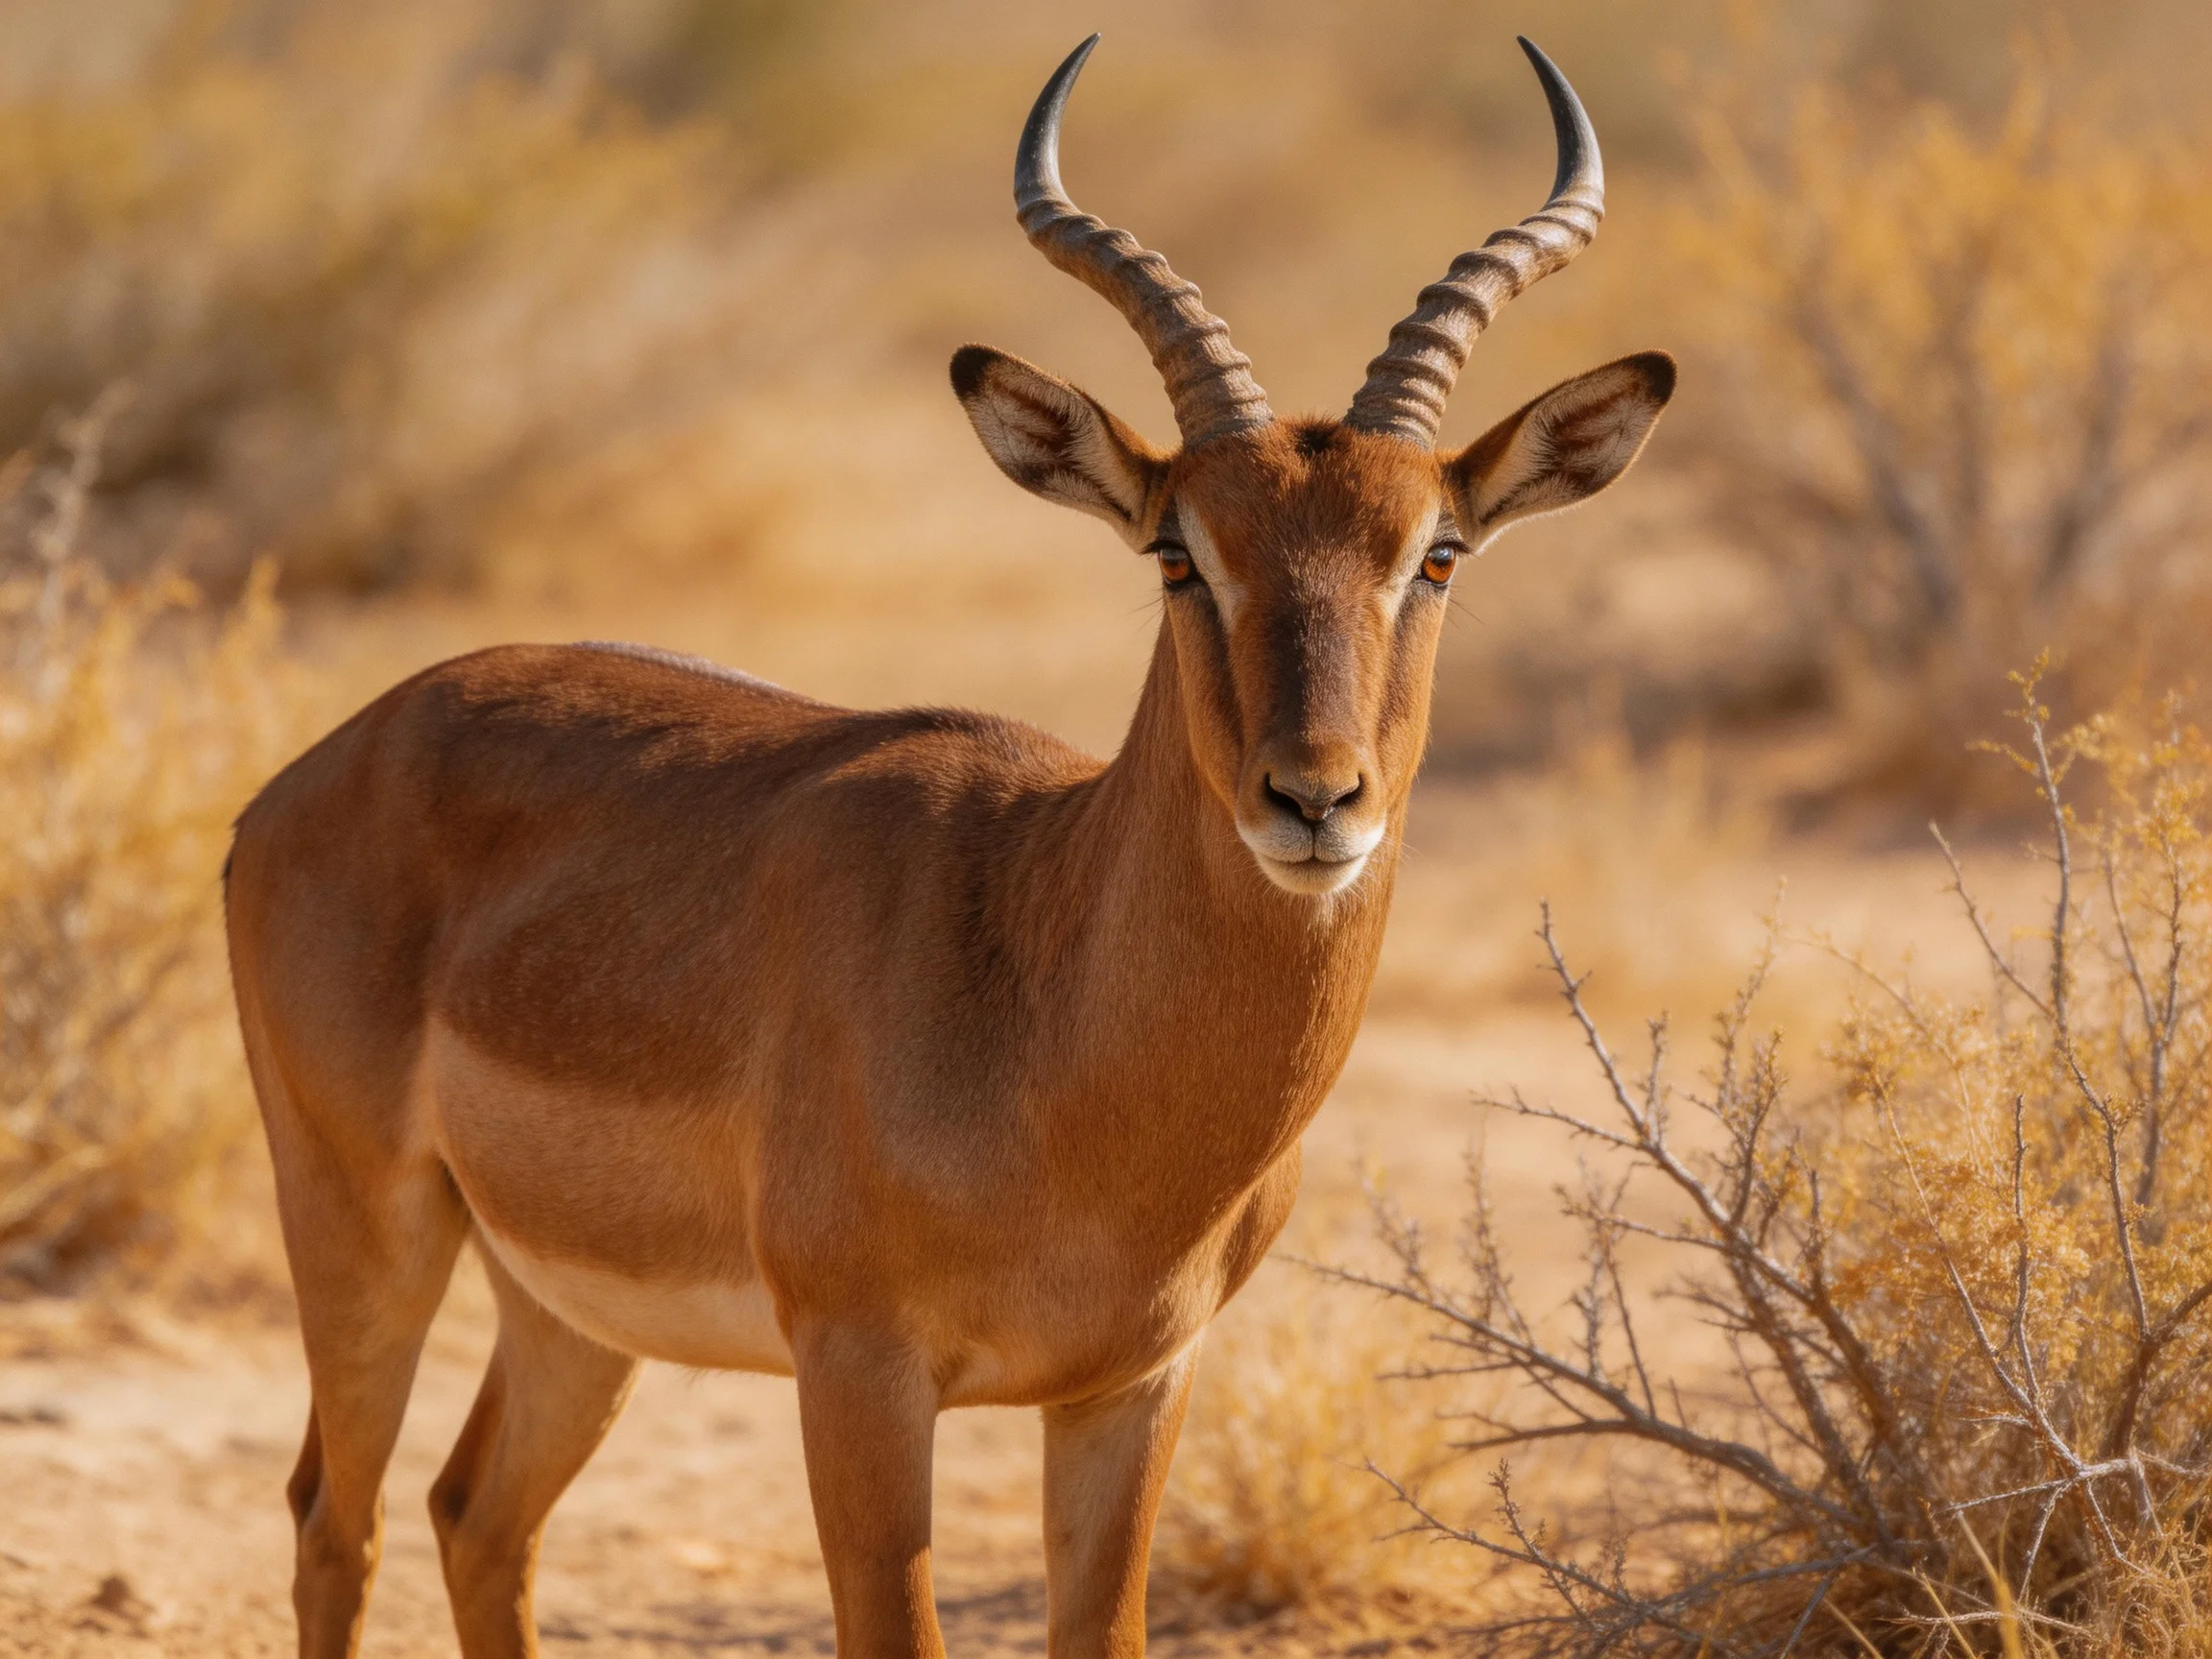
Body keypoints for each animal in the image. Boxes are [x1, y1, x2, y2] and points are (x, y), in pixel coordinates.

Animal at [225, 34, 1672, 1659]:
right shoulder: (859, 1371)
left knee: (475, 1513)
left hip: (568, 1308)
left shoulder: (1132, 1388)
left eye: (1436, 553)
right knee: (333, 1520)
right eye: (1181, 551)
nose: (1316, 799)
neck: (1047, 1012)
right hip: (365, 1218)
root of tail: (320, 767)